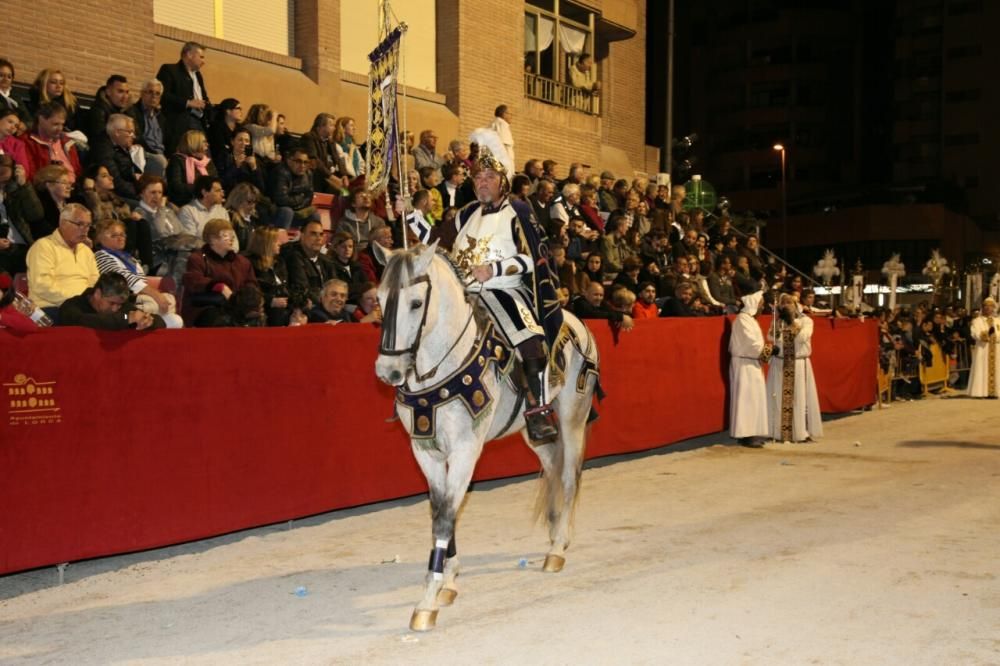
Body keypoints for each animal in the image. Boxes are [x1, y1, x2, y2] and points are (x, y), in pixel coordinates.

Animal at [376, 239, 600, 628]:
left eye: (416, 303)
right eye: (378, 298)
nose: (387, 371)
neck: (440, 366)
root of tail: (578, 325)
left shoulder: (465, 450)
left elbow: (447, 514)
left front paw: (428, 601)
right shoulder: (426, 452)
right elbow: (439, 511)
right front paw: (449, 581)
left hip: (573, 416)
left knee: (570, 476)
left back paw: (558, 549)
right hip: (533, 430)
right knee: (552, 462)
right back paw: (554, 530)